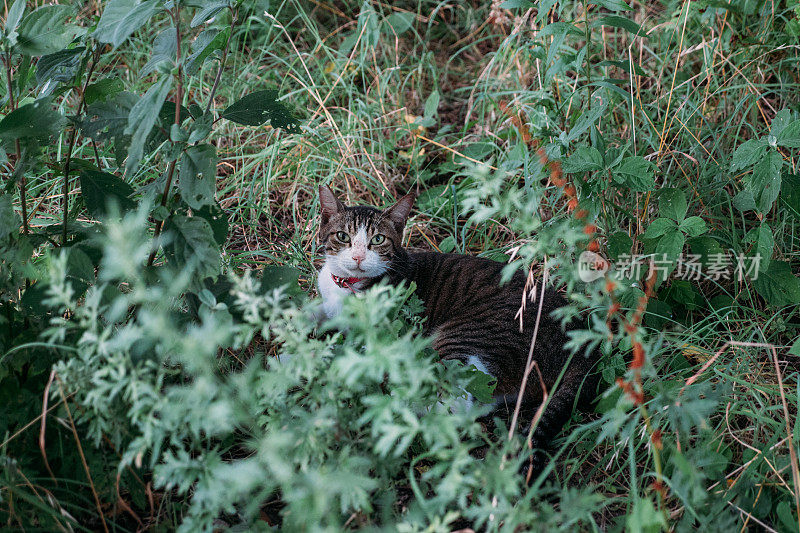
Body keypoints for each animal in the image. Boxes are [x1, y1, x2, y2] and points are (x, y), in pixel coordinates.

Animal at [316, 185, 596, 468]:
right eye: (342, 236)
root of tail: (582, 351)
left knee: (453, 405)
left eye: (378, 240)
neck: (347, 285)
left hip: (464, 336)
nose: (358, 257)